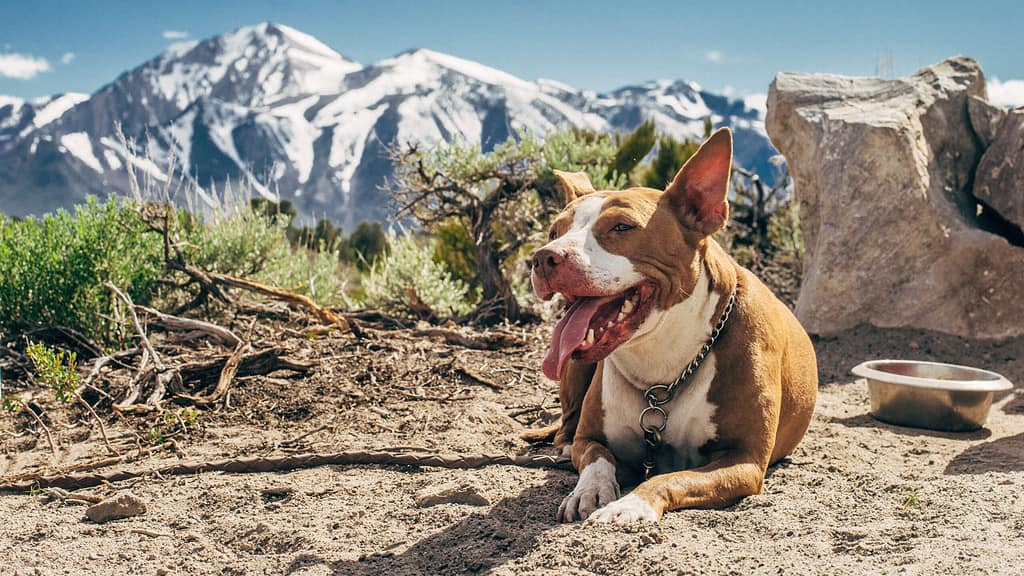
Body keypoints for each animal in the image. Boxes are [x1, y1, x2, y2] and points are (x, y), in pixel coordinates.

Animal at [532, 127, 819, 522]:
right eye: (553, 231)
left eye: (622, 227)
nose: (544, 258)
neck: (660, 363)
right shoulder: (592, 440)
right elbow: (597, 460)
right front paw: (588, 491)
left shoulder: (743, 462)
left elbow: (669, 478)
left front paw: (631, 504)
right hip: (575, 369)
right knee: (566, 424)